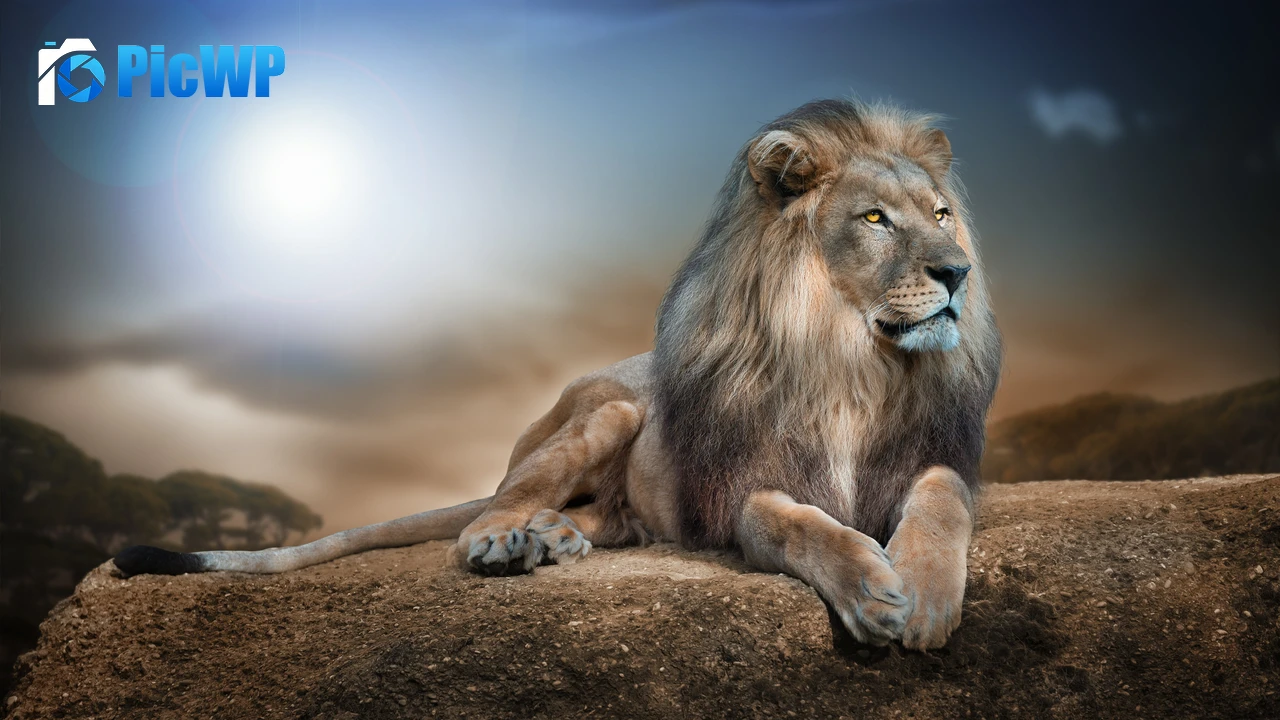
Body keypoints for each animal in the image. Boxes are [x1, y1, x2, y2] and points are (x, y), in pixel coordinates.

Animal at [114, 99, 1002, 650]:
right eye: (875, 219)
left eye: (943, 215)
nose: (958, 272)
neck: (853, 362)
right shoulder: (743, 489)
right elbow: (801, 525)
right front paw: (872, 588)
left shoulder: (932, 457)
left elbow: (941, 501)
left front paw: (923, 593)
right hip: (609, 413)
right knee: (490, 508)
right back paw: (508, 541)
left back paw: (555, 537)